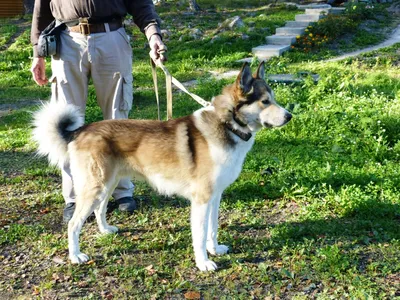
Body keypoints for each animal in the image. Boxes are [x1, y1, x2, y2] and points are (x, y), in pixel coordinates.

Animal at [32, 61, 292, 272]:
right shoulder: (201, 200)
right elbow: (199, 235)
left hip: (107, 184)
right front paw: (204, 263)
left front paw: (215, 249)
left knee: (99, 209)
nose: (289, 116)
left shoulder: (215, 197)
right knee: (74, 224)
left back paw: (105, 230)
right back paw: (75, 256)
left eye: (273, 99)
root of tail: (79, 130)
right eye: (265, 101)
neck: (227, 124)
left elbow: (213, 228)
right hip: (93, 188)